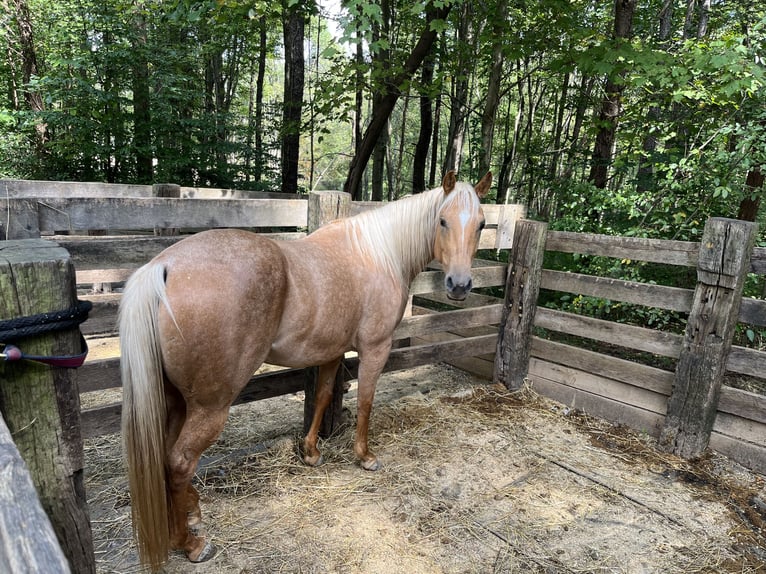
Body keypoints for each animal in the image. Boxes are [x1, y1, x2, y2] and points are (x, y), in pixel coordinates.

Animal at [120, 171, 492, 572]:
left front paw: (311, 452)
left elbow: (324, 396)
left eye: (481, 223)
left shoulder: (331, 352)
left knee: (165, 456)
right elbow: (366, 401)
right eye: (443, 221)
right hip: (210, 405)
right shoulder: (375, 348)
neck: (378, 254)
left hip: (175, 399)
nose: (459, 285)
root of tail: (164, 267)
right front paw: (365, 456)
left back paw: (190, 514)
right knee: (180, 461)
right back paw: (190, 544)